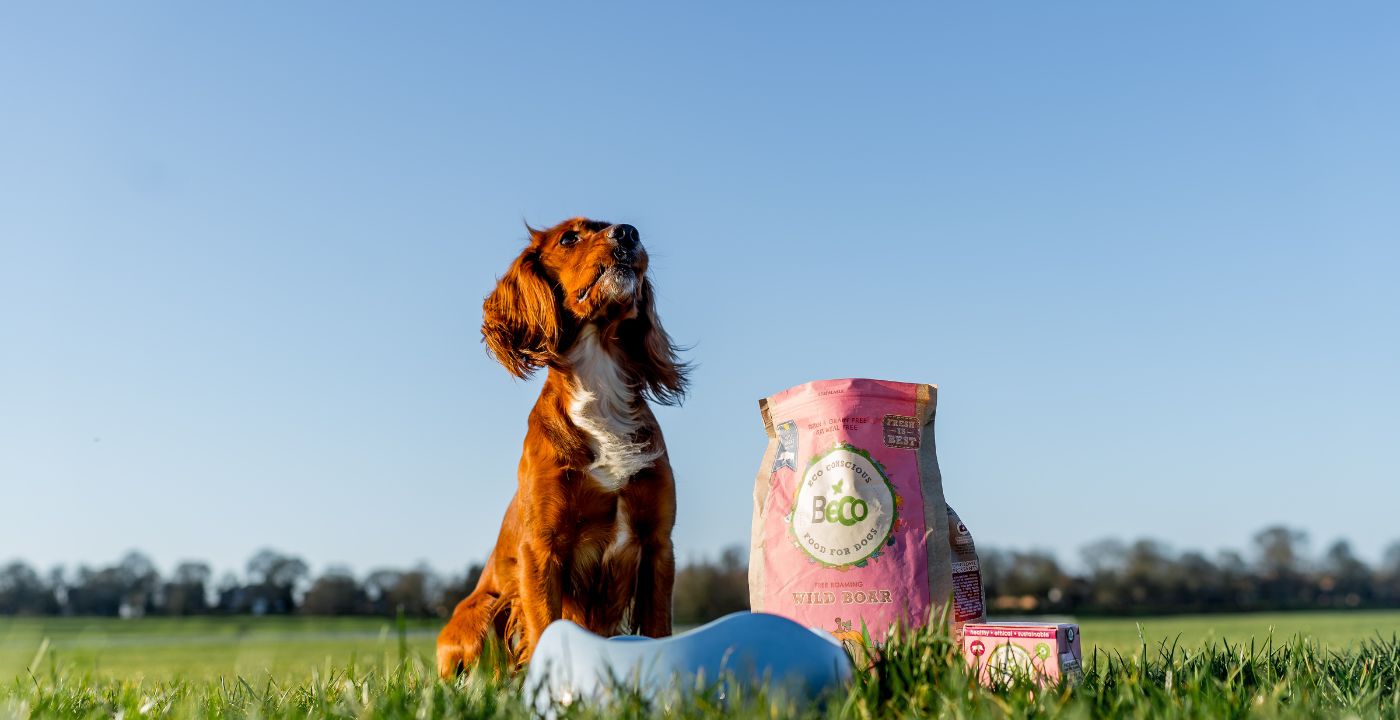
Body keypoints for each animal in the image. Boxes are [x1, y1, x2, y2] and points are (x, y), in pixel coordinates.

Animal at [431, 217, 683, 672]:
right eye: (569, 237)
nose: (628, 232)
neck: (599, 383)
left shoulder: (658, 543)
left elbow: (658, 627)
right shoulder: (542, 549)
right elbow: (545, 628)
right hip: (481, 612)